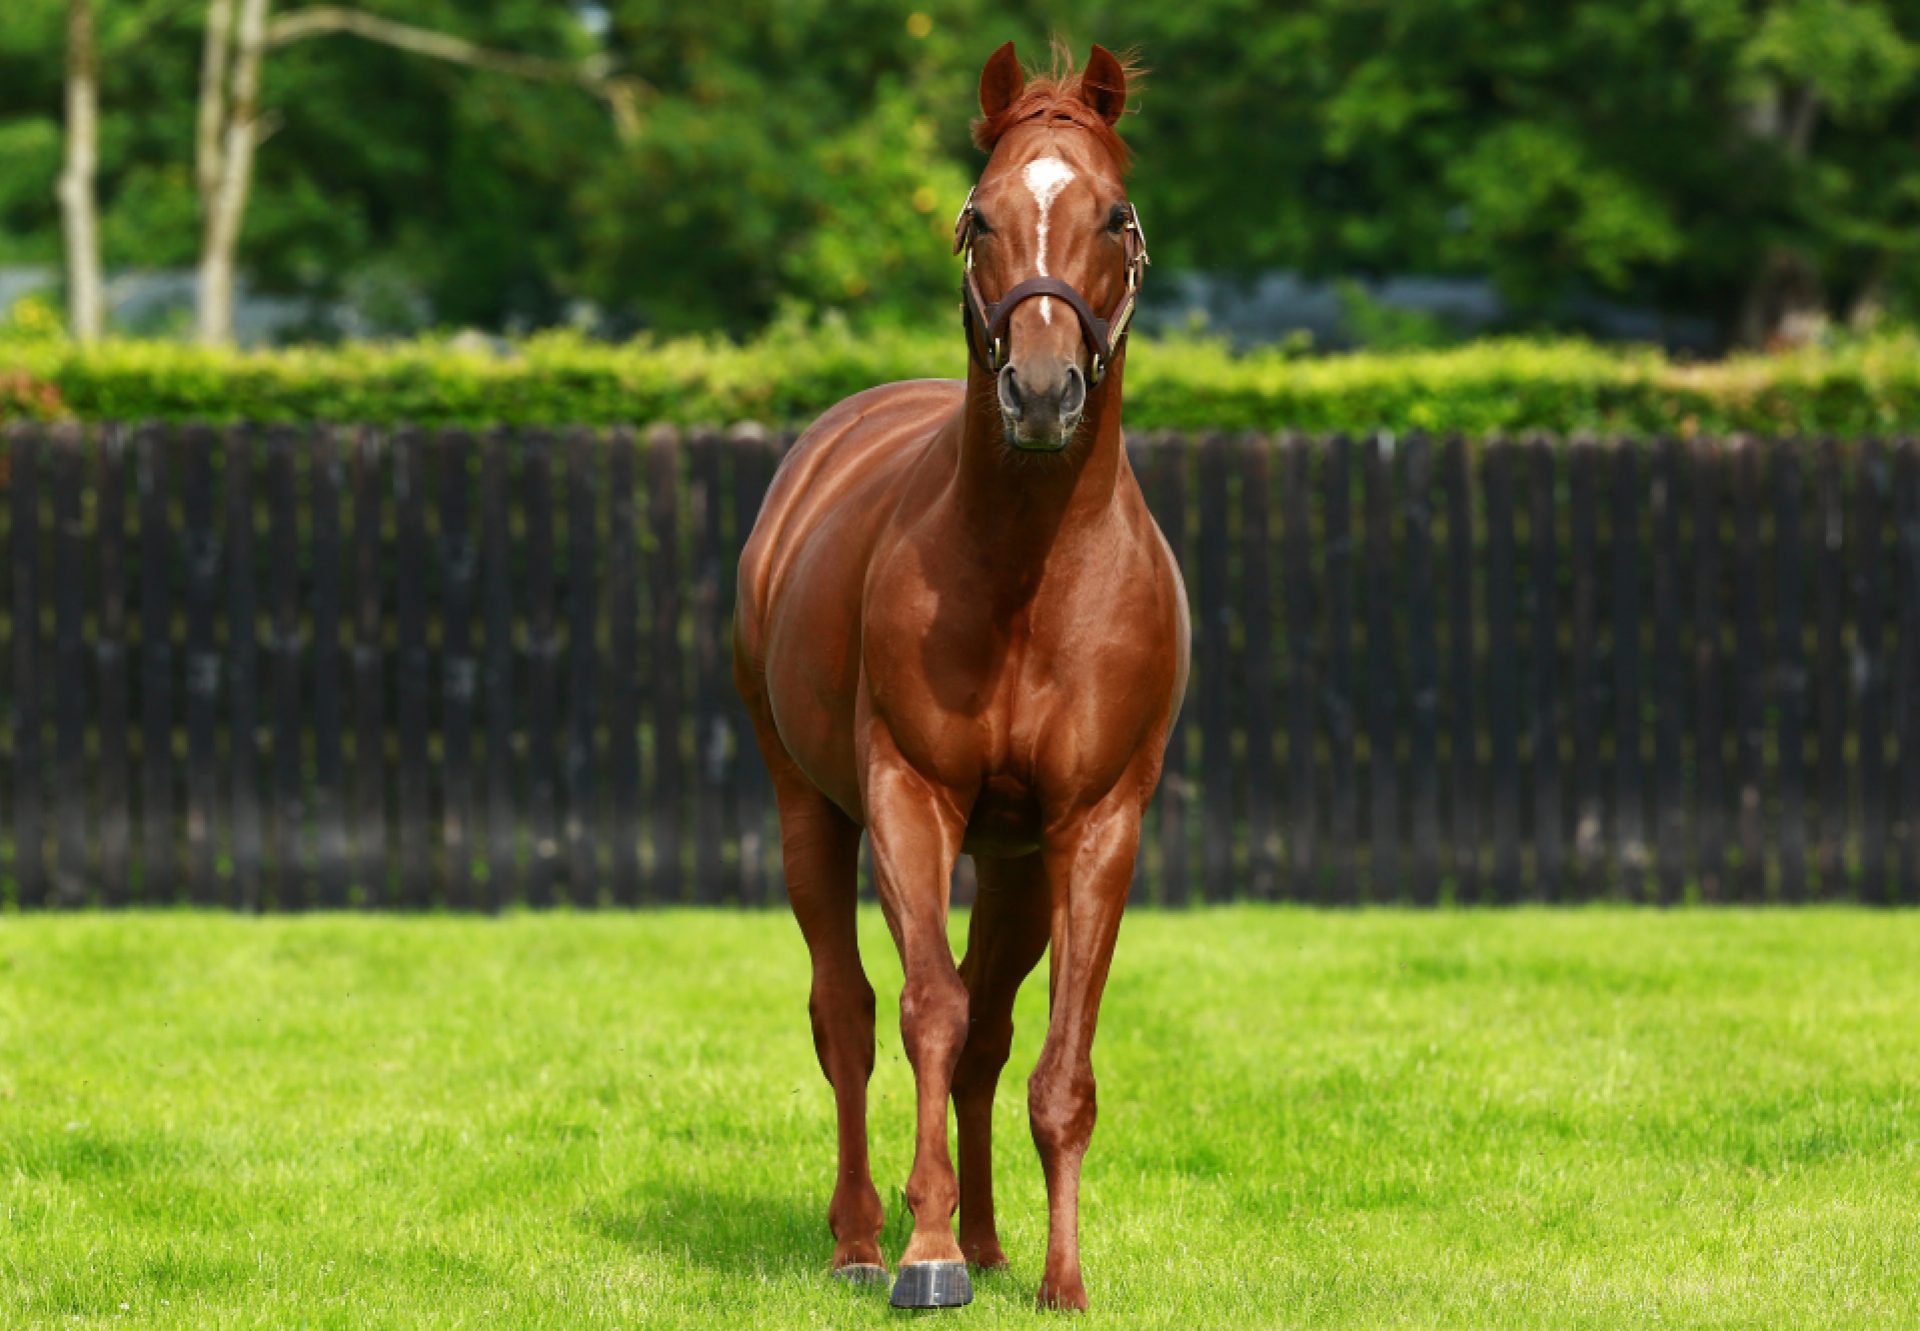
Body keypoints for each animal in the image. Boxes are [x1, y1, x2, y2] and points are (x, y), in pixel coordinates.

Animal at [733, 41, 1182, 1306]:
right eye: (978, 214)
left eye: (1116, 214)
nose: (1038, 390)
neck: (1029, 574)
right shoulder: (907, 798)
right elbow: (923, 1005)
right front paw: (925, 1254)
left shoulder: (1096, 825)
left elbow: (1054, 1057)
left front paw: (1060, 1278)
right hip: (809, 808)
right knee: (848, 1011)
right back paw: (863, 1238)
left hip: (1019, 862)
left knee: (988, 1031)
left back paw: (989, 1238)